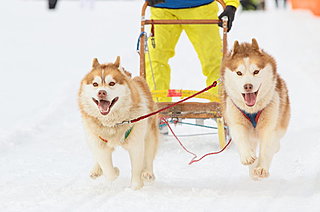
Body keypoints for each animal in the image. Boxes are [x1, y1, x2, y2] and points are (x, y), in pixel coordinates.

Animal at [79, 57, 159, 190]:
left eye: (112, 83)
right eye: (95, 84)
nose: (101, 92)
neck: (113, 123)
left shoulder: (136, 143)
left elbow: (137, 167)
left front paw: (136, 187)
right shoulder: (99, 144)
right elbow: (109, 172)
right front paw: (114, 171)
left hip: (149, 133)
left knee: (148, 154)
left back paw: (148, 172)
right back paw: (96, 169)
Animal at [222, 39, 290, 180]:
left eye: (256, 72)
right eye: (239, 73)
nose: (248, 86)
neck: (252, 110)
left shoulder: (269, 126)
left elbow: (266, 148)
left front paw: (261, 168)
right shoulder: (235, 121)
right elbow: (241, 137)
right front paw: (248, 157)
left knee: (275, 143)